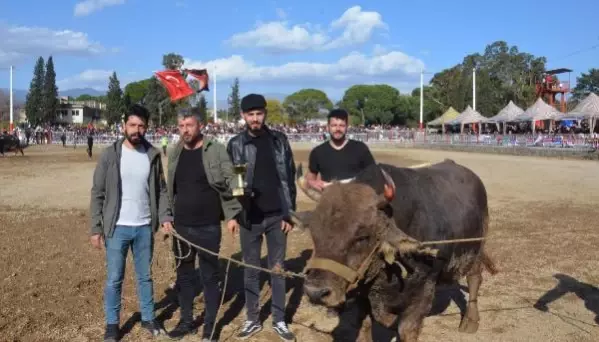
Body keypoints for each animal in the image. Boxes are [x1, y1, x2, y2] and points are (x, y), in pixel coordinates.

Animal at [294, 160, 496, 342]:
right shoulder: (364, 297)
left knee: (474, 278)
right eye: (314, 232)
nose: (315, 292)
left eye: (362, 236)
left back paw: (470, 321)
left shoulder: (423, 292)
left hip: (477, 247)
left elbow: (406, 331)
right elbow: (365, 327)